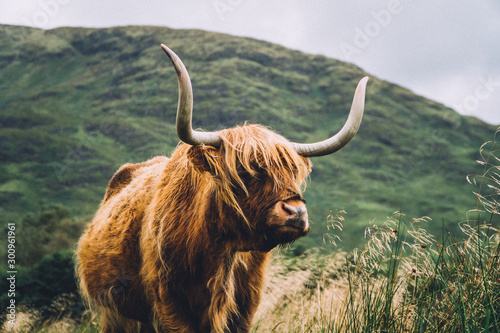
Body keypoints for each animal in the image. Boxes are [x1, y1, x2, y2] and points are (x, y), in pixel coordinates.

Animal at [76, 44, 370, 332]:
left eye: (292, 173)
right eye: (243, 171)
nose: (295, 212)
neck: (221, 249)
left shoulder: (245, 306)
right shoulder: (169, 304)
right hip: (116, 311)